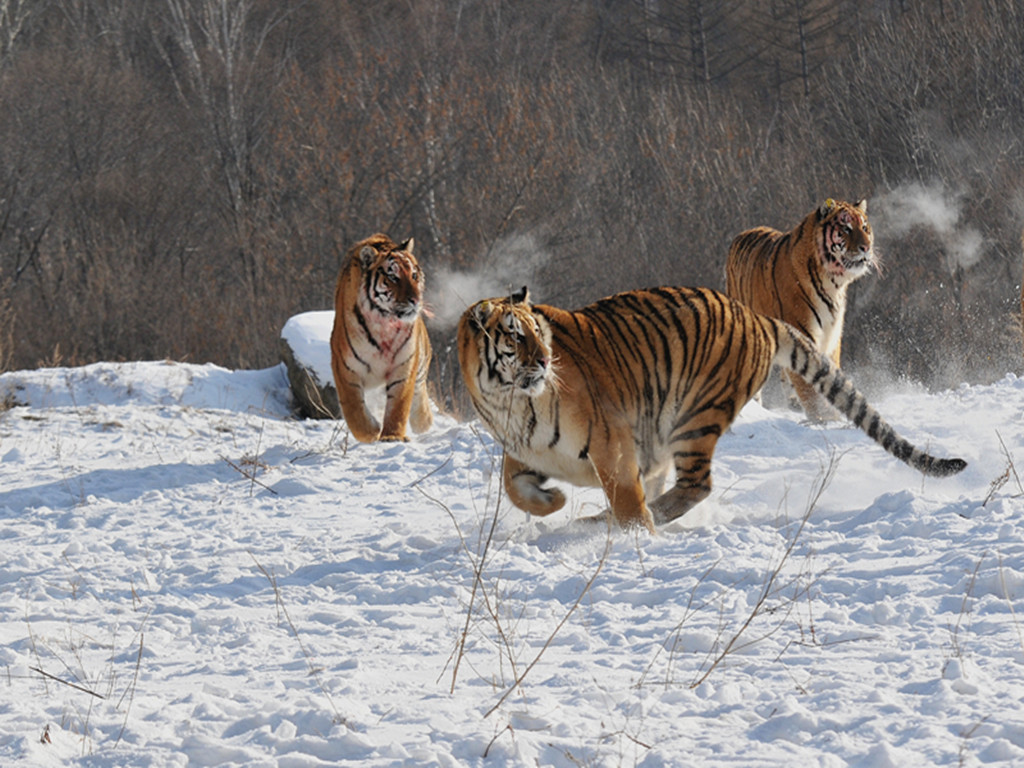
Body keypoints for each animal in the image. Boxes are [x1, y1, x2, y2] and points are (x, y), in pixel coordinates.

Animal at [327, 231, 432, 442]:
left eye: (414, 275)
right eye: (393, 277)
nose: (415, 300)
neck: (385, 323)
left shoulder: (404, 365)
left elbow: (398, 406)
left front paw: (392, 436)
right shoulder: (345, 368)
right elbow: (354, 410)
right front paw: (372, 431)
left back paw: (424, 423)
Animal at [460, 286, 962, 532]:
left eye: (537, 333)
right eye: (516, 336)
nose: (545, 361)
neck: (507, 400)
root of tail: (756, 316)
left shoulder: (611, 443)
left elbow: (626, 499)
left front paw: (631, 535)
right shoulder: (527, 448)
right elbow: (512, 486)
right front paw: (554, 501)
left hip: (693, 419)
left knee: (695, 487)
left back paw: (611, 521)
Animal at [724, 198, 876, 423]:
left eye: (865, 227)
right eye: (846, 229)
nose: (866, 247)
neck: (833, 284)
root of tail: (740, 235)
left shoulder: (832, 336)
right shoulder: (803, 332)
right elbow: (810, 387)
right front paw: (824, 418)